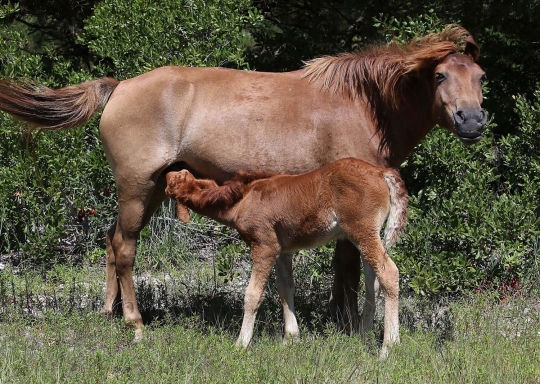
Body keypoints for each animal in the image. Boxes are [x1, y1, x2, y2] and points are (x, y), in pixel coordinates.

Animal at [0, 25, 486, 340]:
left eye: (481, 78)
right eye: (440, 75)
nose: (473, 120)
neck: (361, 103)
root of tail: (119, 87)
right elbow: (347, 269)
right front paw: (346, 325)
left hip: (151, 189)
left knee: (110, 240)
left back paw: (110, 314)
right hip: (138, 188)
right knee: (124, 248)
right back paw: (136, 325)